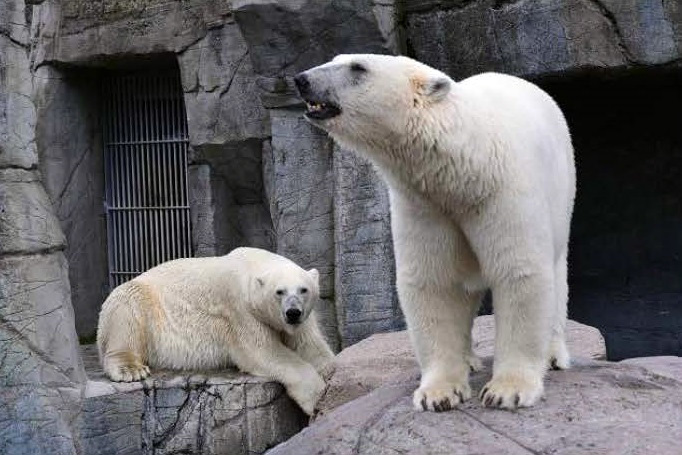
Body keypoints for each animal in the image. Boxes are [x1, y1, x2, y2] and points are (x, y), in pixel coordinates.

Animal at [97, 248, 336, 416]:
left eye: (304, 290)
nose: (292, 312)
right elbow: (264, 351)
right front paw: (318, 399)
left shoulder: (301, 320)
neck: (250, 265)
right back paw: (130, 369)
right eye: (280, 292)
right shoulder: (239, 309)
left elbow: (310, 345)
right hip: (141, 301)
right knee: (127, 308)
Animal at [294, 55, 576, 412]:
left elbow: (519, 271)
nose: (301, 79)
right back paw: (469, 359)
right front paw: (438, 393)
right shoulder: (423, 205)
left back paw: (553, 355)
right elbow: (433, 281)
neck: (466, 169)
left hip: (562, 186)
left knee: (556, 269)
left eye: (358, 67)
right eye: (334, 59)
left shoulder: (503, 191)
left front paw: (506, 391)